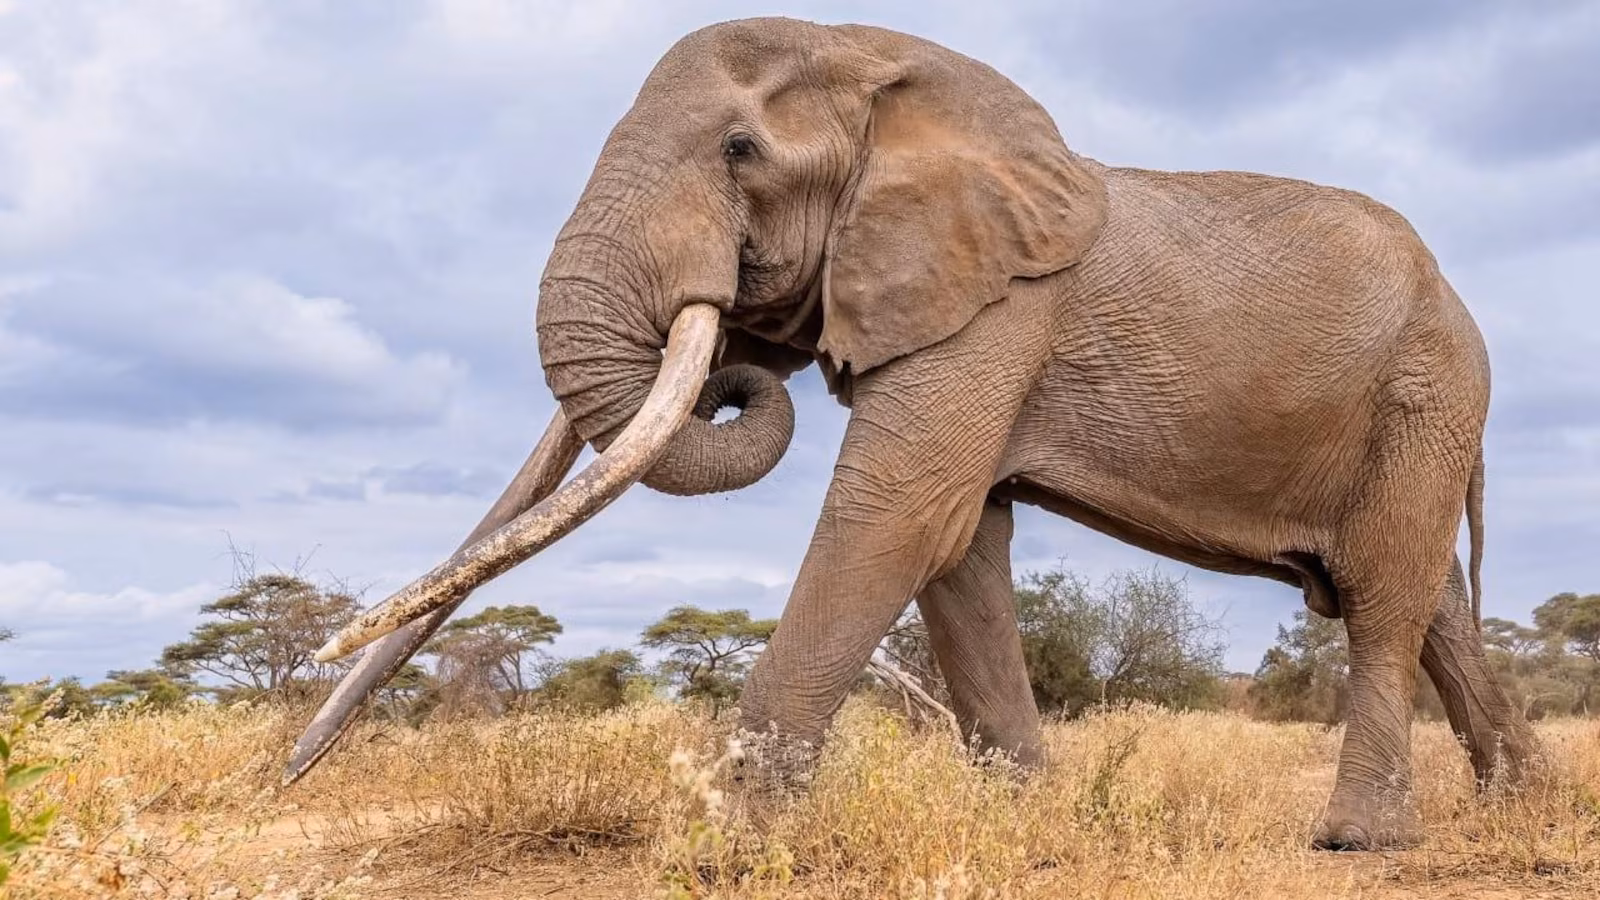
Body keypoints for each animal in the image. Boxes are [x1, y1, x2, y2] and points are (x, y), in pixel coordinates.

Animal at [287, 17, 1542, 851]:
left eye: (738, 151)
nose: (284, 772)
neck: (882, 66)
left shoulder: (997, 309)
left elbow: (897, 517)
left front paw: (732, 846)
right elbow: (959, 549)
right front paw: (1030, 824)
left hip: (1427, 389)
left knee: (1381, 594)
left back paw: (1358, 842)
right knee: (1429, 600)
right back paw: (1518, 801)